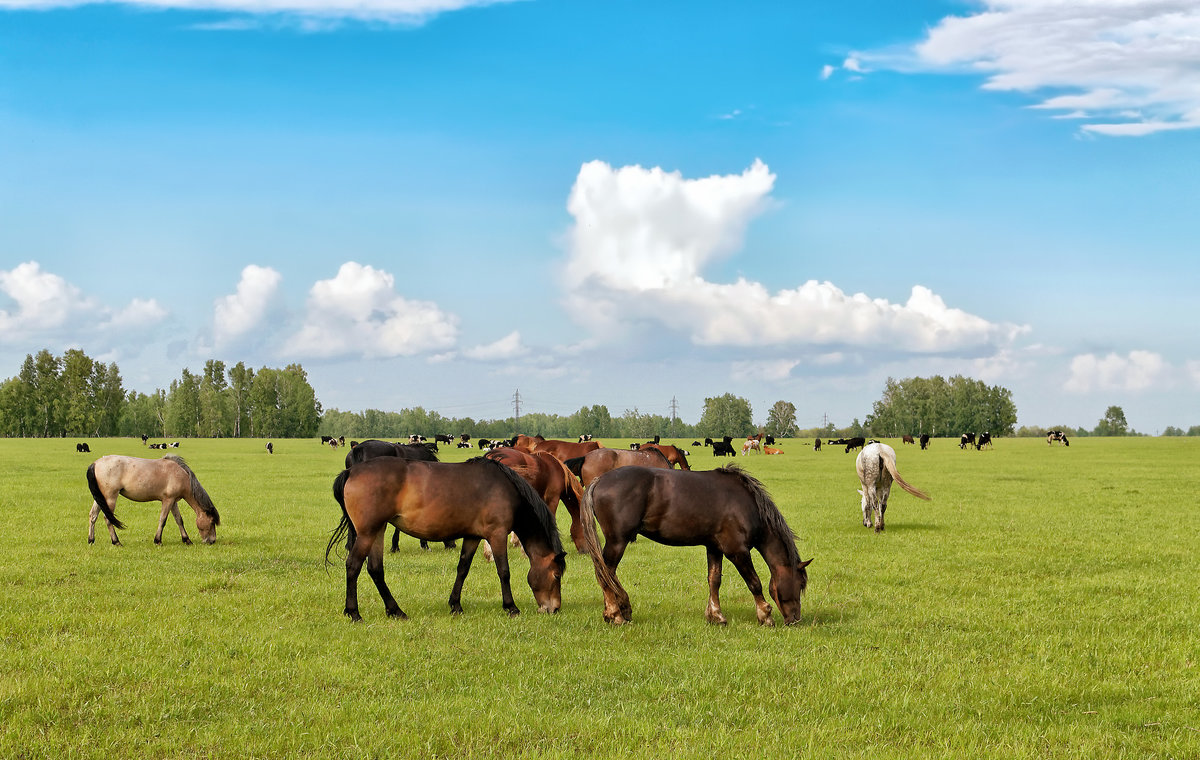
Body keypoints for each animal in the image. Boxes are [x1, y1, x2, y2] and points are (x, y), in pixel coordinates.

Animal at [88, 456, 223, 545]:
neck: (180, 475)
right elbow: (163, 520)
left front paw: (186, 539)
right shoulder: (167, 500)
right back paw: (116, 541)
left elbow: (179, 520)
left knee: (93, 516)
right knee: (107, 518)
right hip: (110, 497)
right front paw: (158, 540)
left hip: (100, 498)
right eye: (212, 522)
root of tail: (95, 463)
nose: (212, 541)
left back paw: (91, 540)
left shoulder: (173, 501)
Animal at [326, 456, 568, 624]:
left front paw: (455, 605)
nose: (554, 608)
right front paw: (511, 607)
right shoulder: (497, 535)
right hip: (367, 533)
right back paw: (354, 613)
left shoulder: (472, 537)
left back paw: (395, 611)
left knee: (375, 570)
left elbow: (463, 568)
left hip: (378, 531)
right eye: (556, 575)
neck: (506, 489)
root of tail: (351, 471)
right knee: (353, 566)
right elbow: (504, 572)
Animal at [573, 465, 816, 624]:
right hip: (617, 541)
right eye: (800, 585)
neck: (747, 505)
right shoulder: (737, 551)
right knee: (605, 573)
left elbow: (714, 580)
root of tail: (599, 480)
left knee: (607, 574)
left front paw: (716, 615)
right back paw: (615, 614)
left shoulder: (715, 548)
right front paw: (765, 615)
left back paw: (620, 609)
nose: (795, 619)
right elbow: (754, 582)